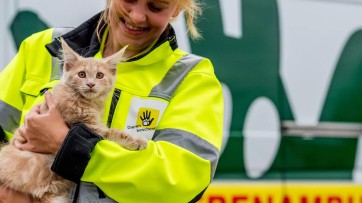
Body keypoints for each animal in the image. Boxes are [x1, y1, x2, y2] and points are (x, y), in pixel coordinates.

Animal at [0, 38, 148, 202]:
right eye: (82, 74)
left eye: (99, 75)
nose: (90, 84)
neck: (85, 101)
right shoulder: (86, 125)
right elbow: (114, 132)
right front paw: (137, 141)